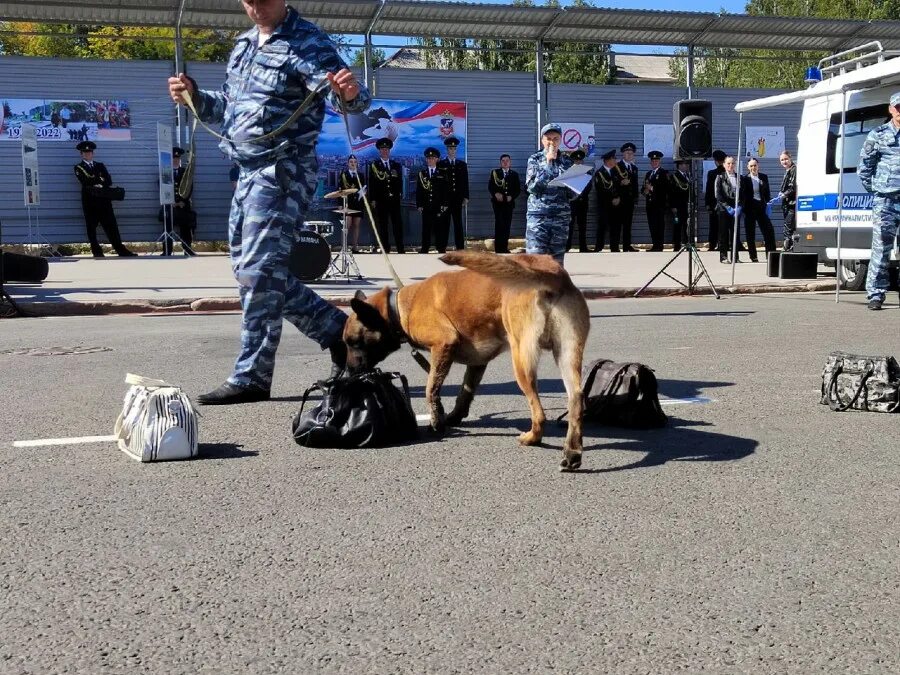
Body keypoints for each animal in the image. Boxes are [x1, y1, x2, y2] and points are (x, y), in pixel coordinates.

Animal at [342, 250, 588, 470]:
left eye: (353, 342)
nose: (347, 373)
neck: (401, 308)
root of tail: (552, 272)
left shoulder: (443, 345)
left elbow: (431, 388)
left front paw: (436, 421)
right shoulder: (477, 363)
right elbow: (465, 392)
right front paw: (452, 416)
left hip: (522, 359)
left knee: (539, 411)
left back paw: (533, 438)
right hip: (567, 353)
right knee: (576, 398)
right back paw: (572, 452)